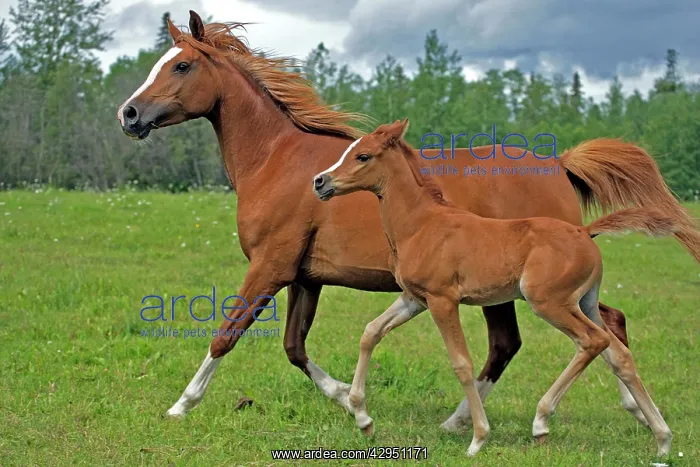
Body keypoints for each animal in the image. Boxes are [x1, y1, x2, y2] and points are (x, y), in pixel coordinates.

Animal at [312, 119, 676, 457]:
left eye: (362, 155)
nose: (320, 182)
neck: (422, 225)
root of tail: (584, 232)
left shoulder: (443, 300)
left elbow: (461, 363)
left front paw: (478, 438)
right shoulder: (414, 299)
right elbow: (371, 332)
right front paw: (362, 418)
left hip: (550, 303)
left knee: (593, 341)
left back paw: (541, 421)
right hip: (584, 302)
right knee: (618, 353)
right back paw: (662, 439)